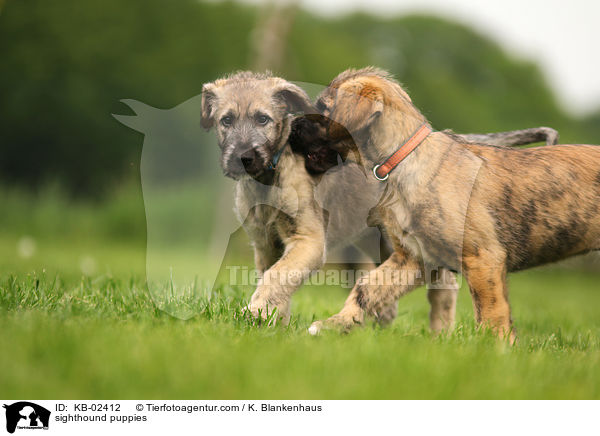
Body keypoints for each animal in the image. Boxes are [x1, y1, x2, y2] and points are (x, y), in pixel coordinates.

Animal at [302, 68, 596, 342]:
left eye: (324, 107)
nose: (294, 124)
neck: (404, 156)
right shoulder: (413, 258)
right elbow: (367, 288)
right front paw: (335, 323)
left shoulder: (482, 257)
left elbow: (491, 312)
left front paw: (496, 350)